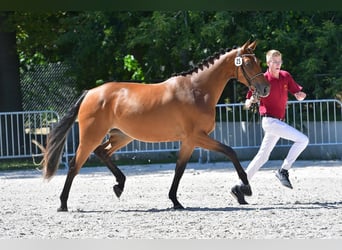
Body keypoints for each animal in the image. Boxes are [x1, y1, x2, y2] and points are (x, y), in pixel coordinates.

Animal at [36, 39, 270, 211]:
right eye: (248, 63)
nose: (265, 88)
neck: (196, 90)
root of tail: (90, 93)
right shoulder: (197, 136)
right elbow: (230, 151)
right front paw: (245, 188)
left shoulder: (189, 141)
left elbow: (179, 169)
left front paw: (175, 201)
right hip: (91, 136)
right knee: (75, 164)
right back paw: (63, 204)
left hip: (121, 136)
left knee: (102, 153)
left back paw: (119, 185)